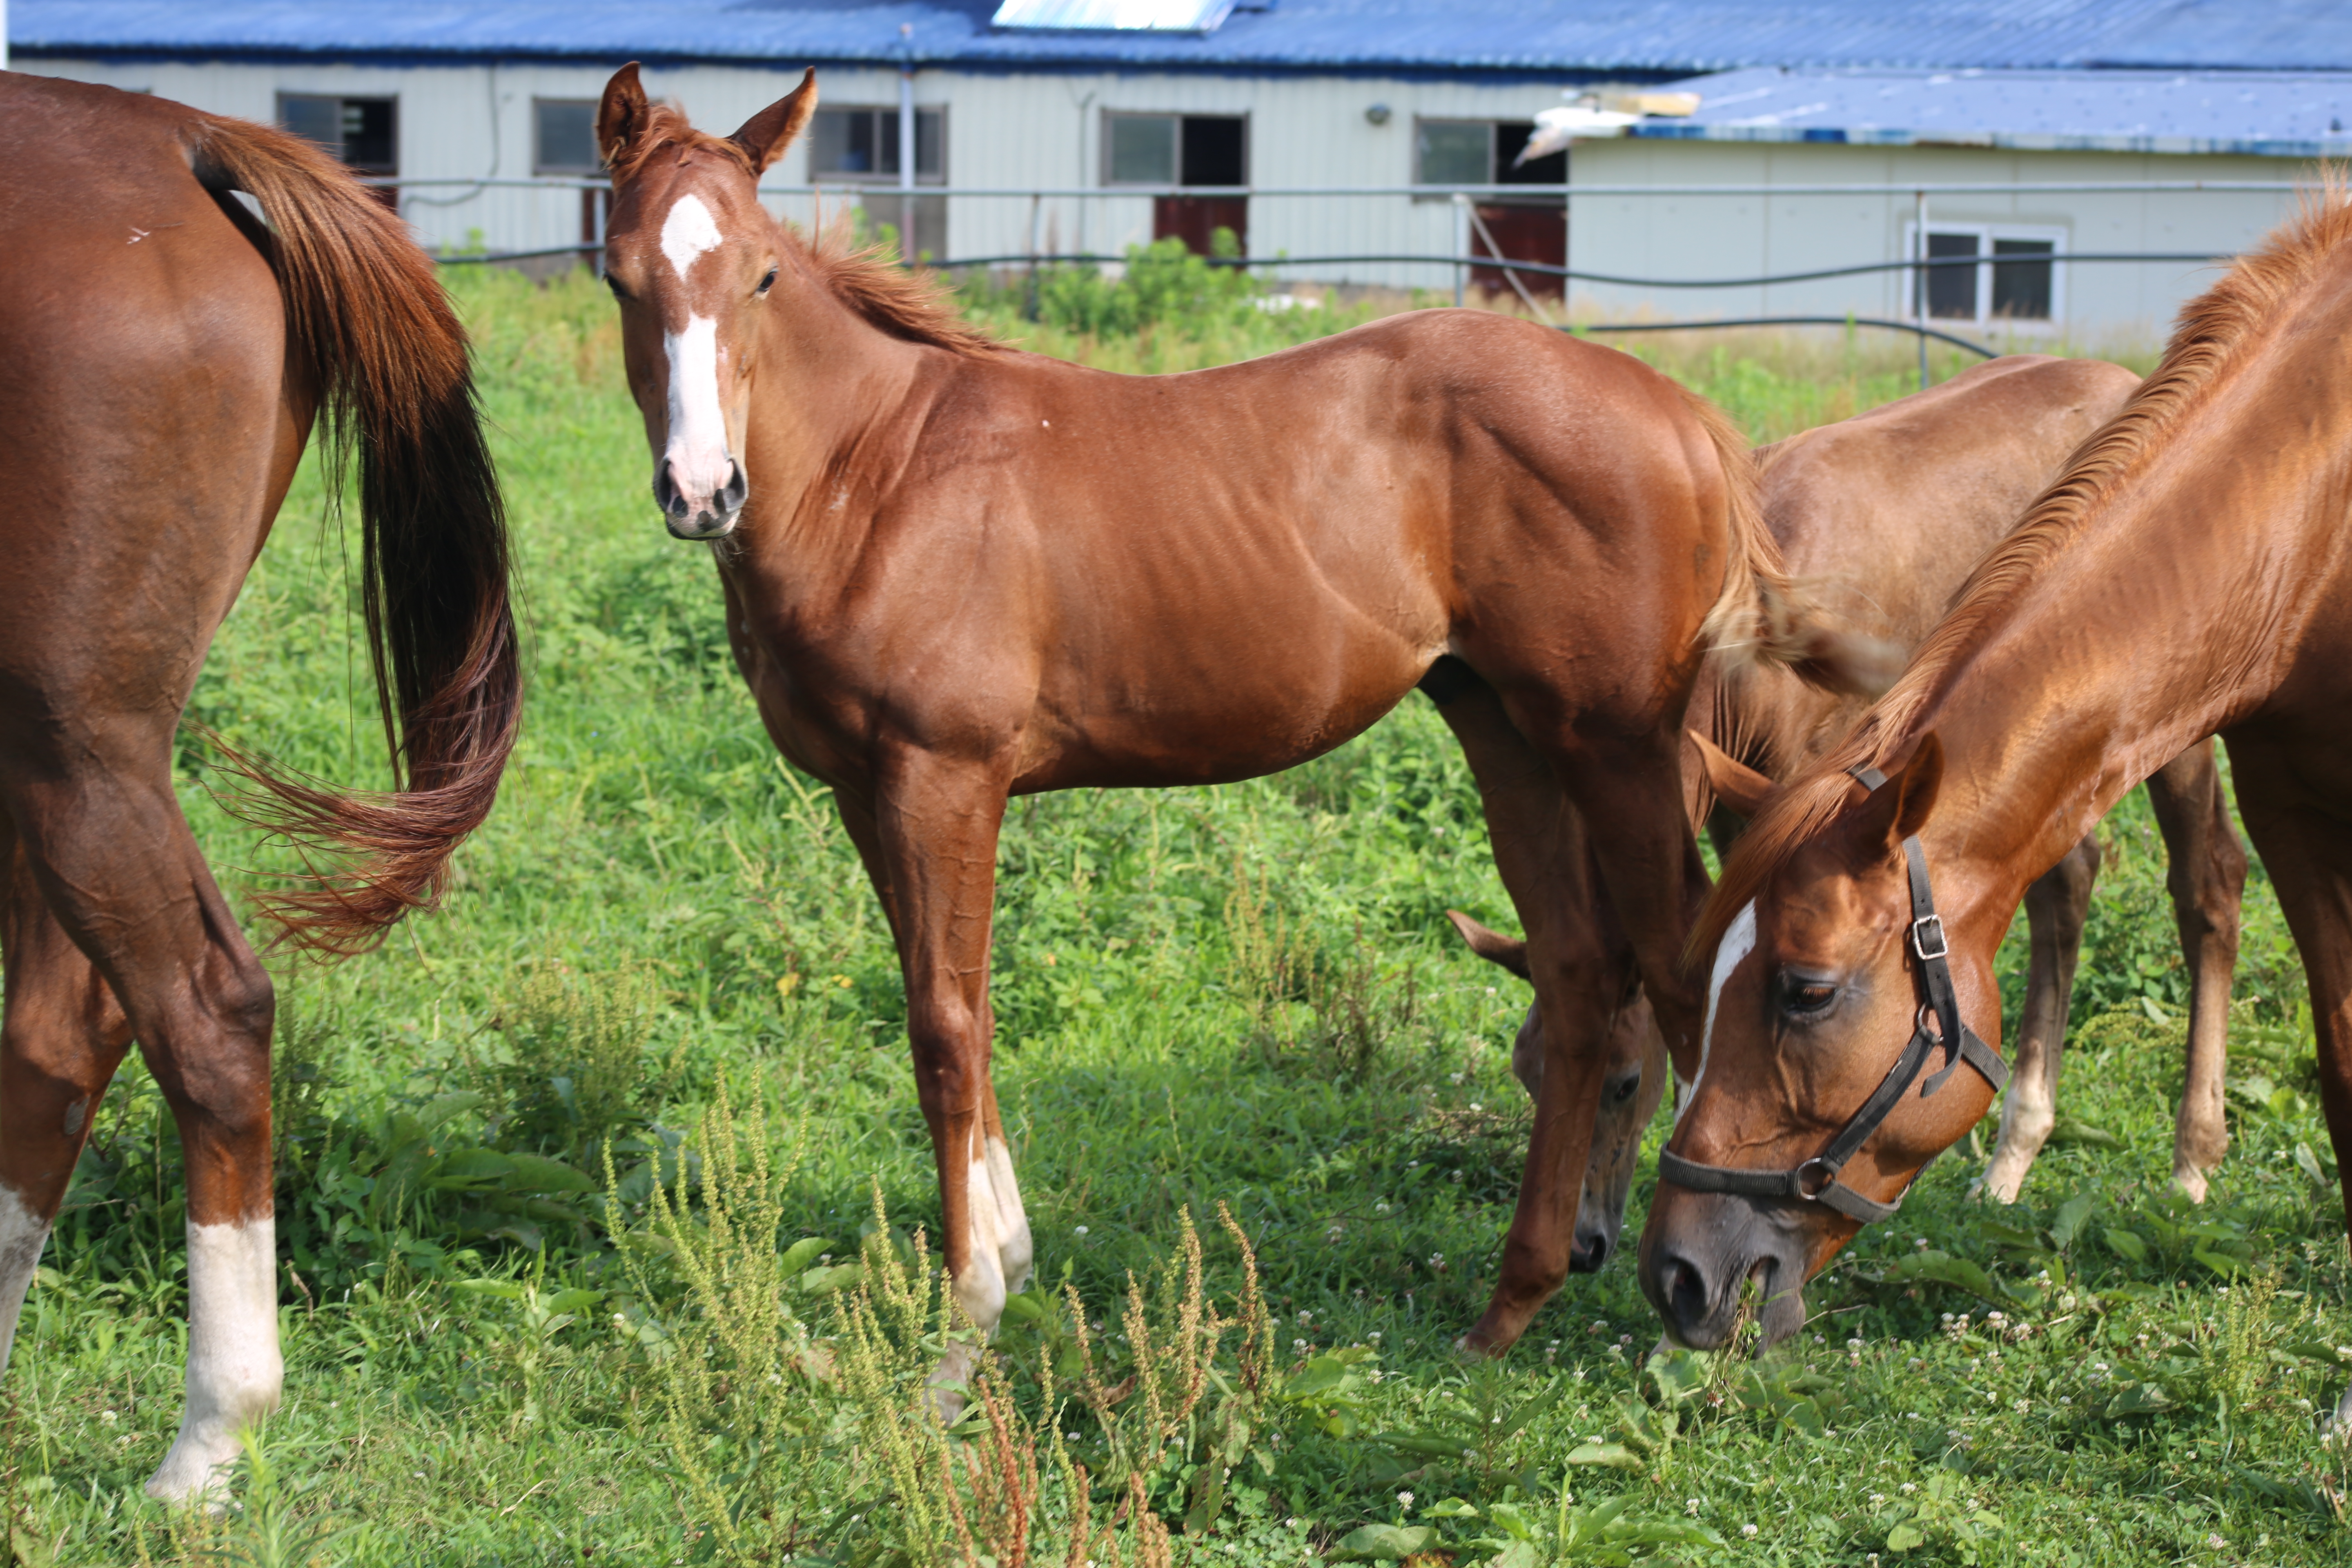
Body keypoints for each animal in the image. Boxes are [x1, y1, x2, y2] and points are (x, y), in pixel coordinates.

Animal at [597, 64, 1882, 1373]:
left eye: (761, 274)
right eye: (620, 276)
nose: (702, 490)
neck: (877, 476)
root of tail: (1682, 415)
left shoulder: (942, 775)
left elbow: (946, 1024)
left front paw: (965, 1324)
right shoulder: (868, 793)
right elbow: (954, 1000)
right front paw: (1008, 1256)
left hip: (1614, 746)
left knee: (1677, 971)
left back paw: (1702, 1315)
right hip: (1508, 728)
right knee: (1580, 975)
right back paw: (1506, 1307)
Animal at [1439, 364, 2248, 1278]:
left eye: (1622, 1082)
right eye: (1524, 1072)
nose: (1581, 1246)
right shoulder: (1754, 810)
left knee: (2208, 880)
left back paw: (2191, 1162)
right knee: (2065, 885)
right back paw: (2015, 1153)